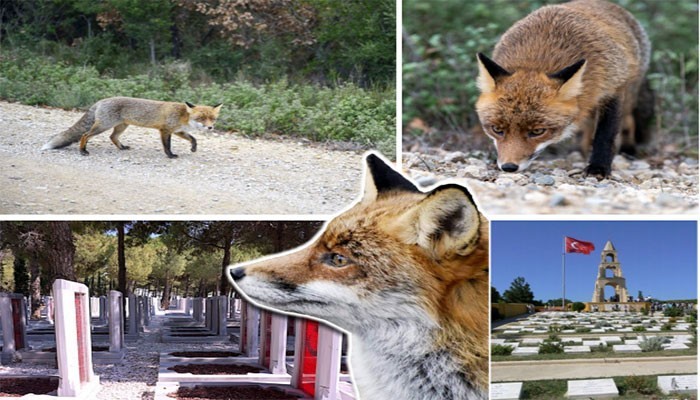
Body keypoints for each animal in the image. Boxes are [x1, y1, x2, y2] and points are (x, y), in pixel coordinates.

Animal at [41, 96, 221, 158]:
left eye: (212, 119)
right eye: (201, 118)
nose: (210, 128)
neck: (183, 116)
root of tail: (102, 100)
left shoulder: (177, 131)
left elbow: (193, 138)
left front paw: (193, 148)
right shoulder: (165, 130)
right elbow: (167, 146)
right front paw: (170, 156)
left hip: (121, 127)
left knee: (112, 137)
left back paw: (122, 148)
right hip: (103, 126)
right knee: (85, 135)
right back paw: (83, 151)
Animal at [476, 0, 652, 177]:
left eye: (538, 131)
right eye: (497, 129)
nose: (509, 167)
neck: (539, 58)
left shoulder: (612, 89)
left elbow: (605, 135)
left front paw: (598, 167)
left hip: (628, 94)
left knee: (627, 121)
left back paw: (628, 149)